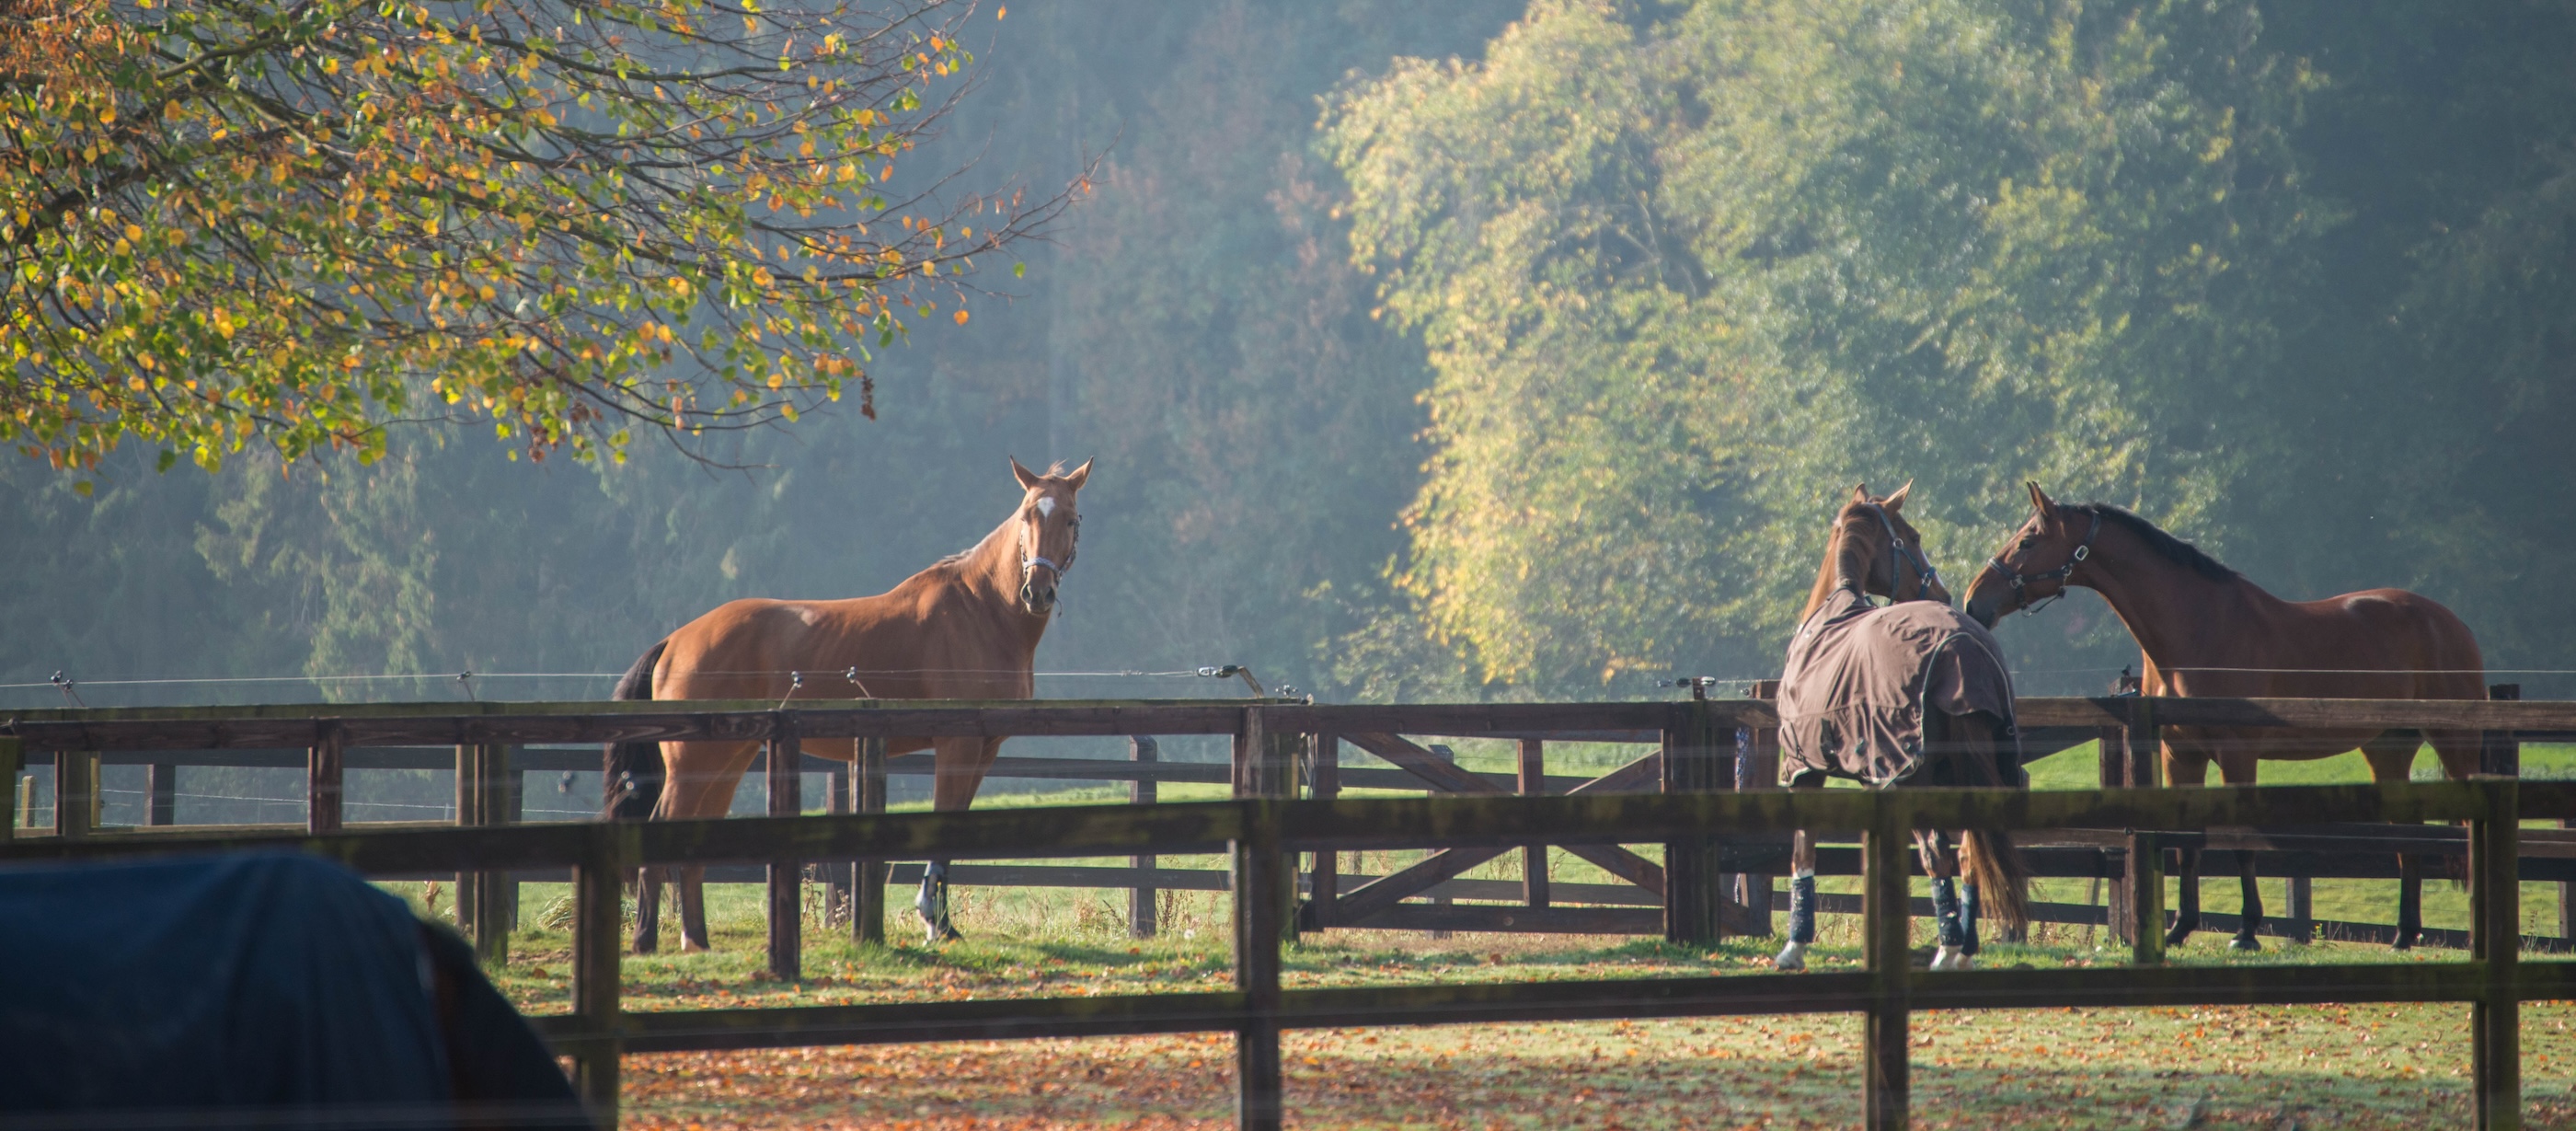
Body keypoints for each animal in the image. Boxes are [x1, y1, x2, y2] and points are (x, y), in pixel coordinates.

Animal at [601, 457, 1090, 950]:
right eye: (1027, 517)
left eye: (1071, 520)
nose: (1038, 591)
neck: (980, 611)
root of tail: (675, 640)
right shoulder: (957, 745)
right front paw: (934, 921)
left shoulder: (984, 749)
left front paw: (943, 921)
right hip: (694, 762)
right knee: (662, 825)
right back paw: (645, 940)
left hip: (726, 760)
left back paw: (697, 941)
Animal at [1774, 484, 2032, 973]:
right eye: (1911, 537)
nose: (1946, 592)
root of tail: (1964, 648)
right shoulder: (1877, 782)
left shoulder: (1805, 771)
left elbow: (1801, 851)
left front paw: (1794, 947)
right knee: (1970, 854)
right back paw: (1963, 951)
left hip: (1915, 778)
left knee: (1937, 855)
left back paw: (1947, 950)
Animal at [1962, 482, 2486, 950]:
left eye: (2027, 541)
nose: (1973, 601)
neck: (2197, 627)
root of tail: (2450, 622)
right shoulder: (2181, 756)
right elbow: (2188, 844)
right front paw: (2180, 928)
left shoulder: (2237, 755)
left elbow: (2240, 841)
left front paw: (2247, 931)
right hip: (2388, 750)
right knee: (2408, 838)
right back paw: (2403, 936)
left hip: (2452, 743)